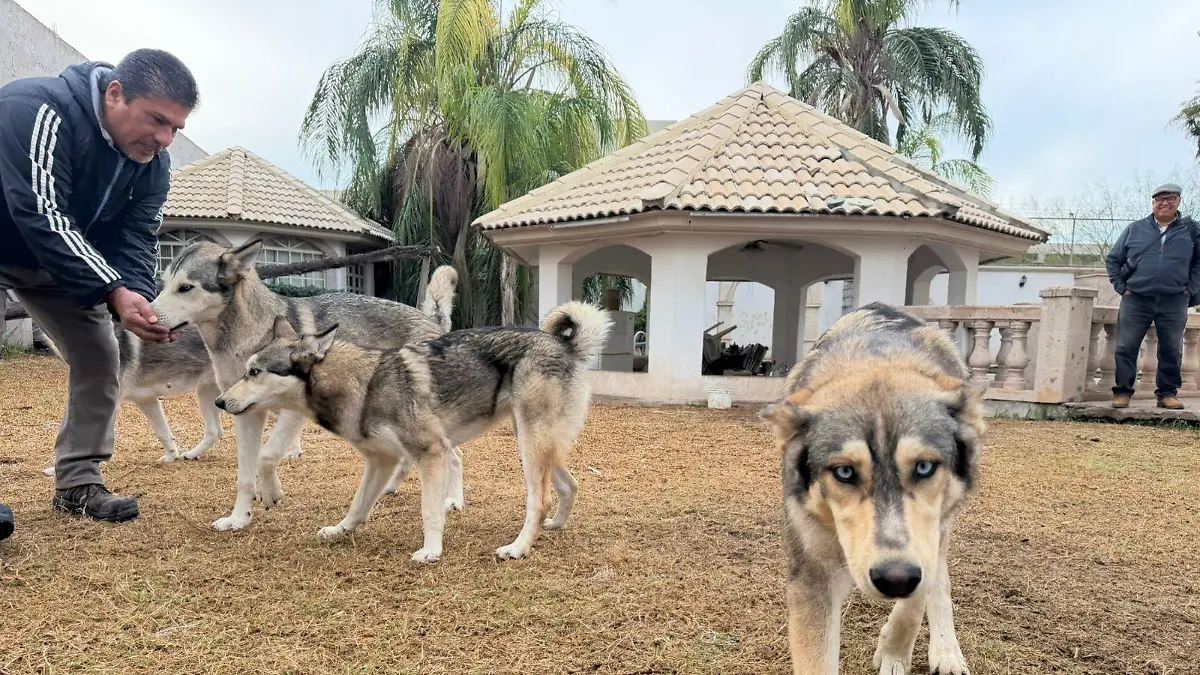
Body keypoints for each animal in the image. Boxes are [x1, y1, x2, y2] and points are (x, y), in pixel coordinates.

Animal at [150, 239, 460, 533]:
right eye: (165, 284)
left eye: (185, 287)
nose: (149, 316)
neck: (248, 338)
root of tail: (431, 319)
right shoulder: (246, 414)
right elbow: (244, 475)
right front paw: (239, 518)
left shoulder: (293, 413)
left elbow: (267, 455)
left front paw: (271, 493)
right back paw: (392, 487)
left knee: (453, 455)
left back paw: (452, 500)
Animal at [213, 301, 611, 563]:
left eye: (255, 372)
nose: (219, 401)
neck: (366, 384)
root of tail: (564, 344)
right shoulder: (381, 461)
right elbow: (358, 505)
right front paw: (341, 530)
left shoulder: (429, 454)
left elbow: (430, 511)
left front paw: (431, 551)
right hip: (535, 444)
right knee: (568, 486)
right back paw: (554, 526)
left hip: (530, 446)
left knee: (538, 501)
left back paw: (518, 548)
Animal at [759, 302, 984, 675]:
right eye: (845, 472)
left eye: (924, 467)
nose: (895, 579)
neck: (874, 359)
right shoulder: (813, 574)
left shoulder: (926, 540)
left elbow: (916, 601)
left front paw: (894, 653)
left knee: (940, 579)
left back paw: (947, 652)